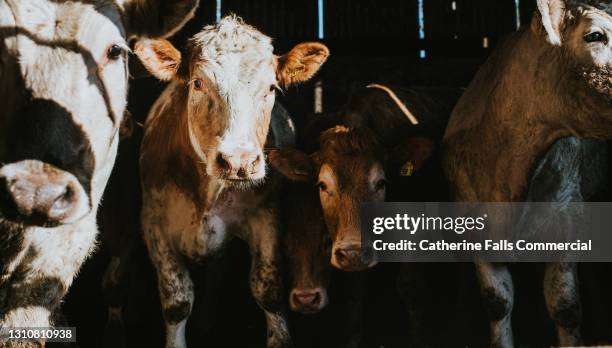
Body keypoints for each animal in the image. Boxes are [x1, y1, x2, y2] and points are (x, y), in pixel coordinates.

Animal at [132, 15, 328, 348]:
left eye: (271, 87)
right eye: (198, 83)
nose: (239, 161)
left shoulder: (266, 217)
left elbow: (268, 291)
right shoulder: (153, 223)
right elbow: (176, 300)